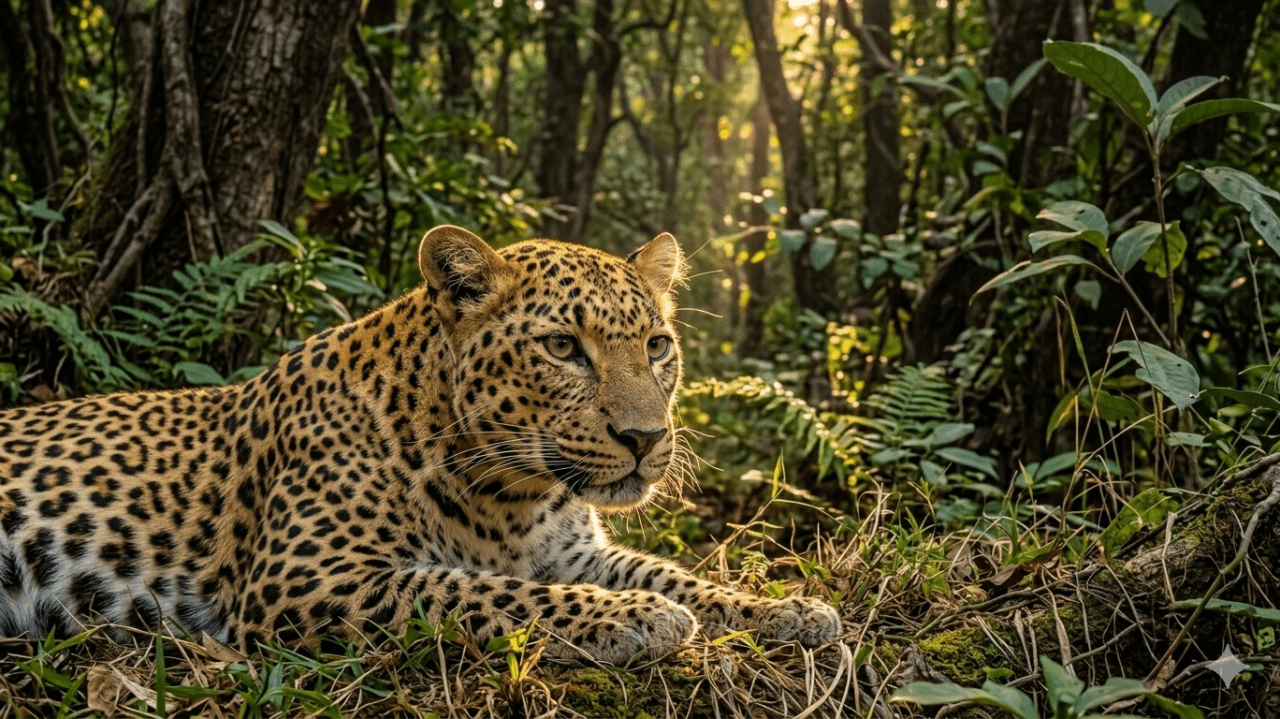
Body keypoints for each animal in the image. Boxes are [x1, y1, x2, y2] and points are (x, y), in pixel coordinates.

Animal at [0, 226, 840, 664]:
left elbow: (679, 573)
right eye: (563, 347)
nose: (646, 438)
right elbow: (478, 589)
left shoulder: (576, 551)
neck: (517, 495)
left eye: (658, 346)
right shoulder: (305, 577)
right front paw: (634, 617)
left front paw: (786, 610)